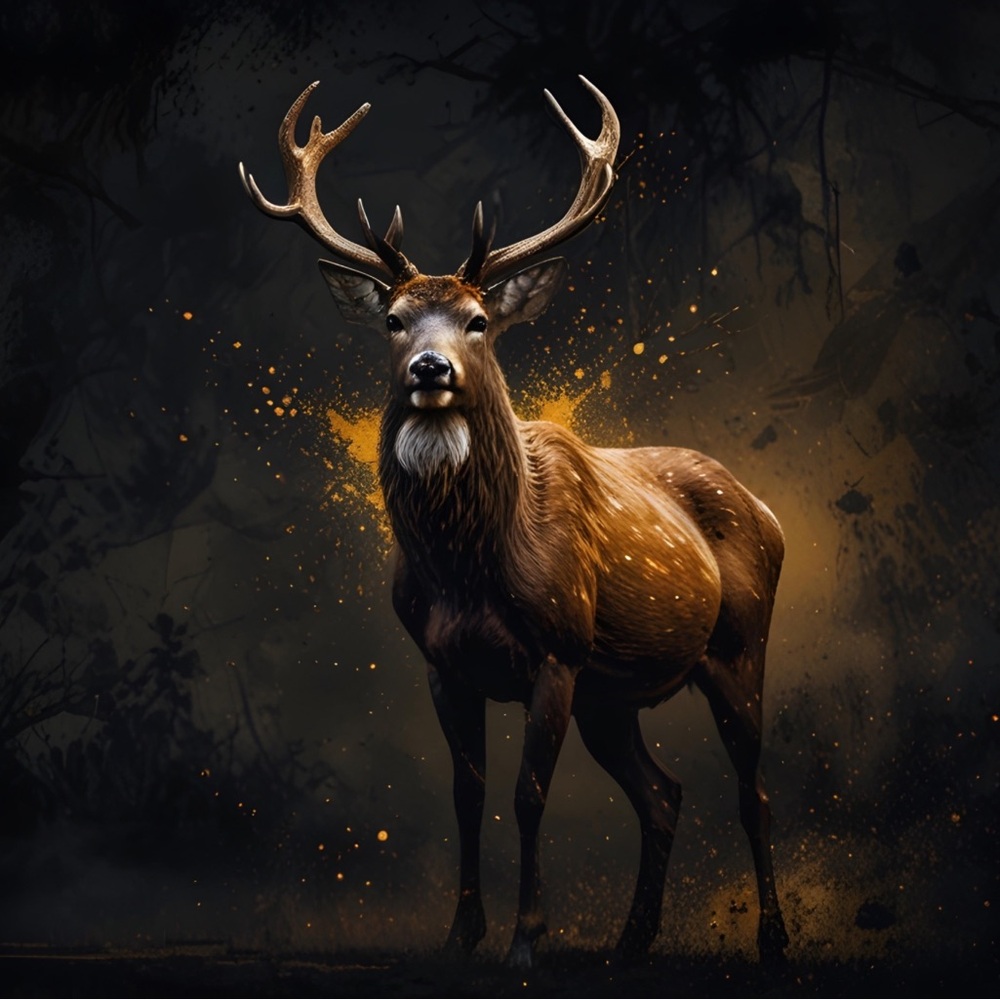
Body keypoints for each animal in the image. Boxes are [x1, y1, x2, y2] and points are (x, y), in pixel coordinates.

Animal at [239, 76, 789, 969]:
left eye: (478, 320)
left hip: (739, 645)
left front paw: (527, 941)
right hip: (614, 694)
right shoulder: (444, 663)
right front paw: (461, 936)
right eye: (393, 320)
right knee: (664, 792)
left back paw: (773, 939)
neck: (472, 568)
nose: (431, 369)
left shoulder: (557, 652)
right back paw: (630, 943)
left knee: (754, 788)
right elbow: (469, 793)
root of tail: (768, 510)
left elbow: (529, 795)